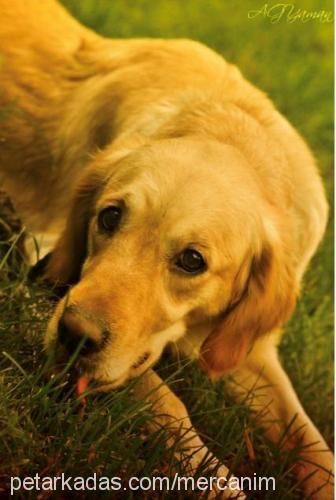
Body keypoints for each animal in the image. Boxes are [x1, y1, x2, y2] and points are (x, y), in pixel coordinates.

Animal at [0, 0, 332, 498]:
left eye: (192, 260)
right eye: (109, 216)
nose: (75, 335)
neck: (231, 125)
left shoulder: (249, 351)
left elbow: (314, 448)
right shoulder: (46, 280)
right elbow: (172, 404)